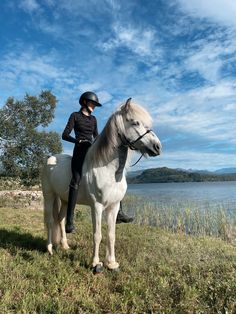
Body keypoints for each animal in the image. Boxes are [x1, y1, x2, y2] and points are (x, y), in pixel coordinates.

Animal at [41, 98, 161, 272]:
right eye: (135, 122)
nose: (157, 146)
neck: (107, 168)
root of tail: (50, 159)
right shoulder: (96, 207)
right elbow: (97, 235)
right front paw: (96, 264)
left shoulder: (114, 206)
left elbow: (111, 235)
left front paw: (112, 263)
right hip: (49, 195)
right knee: (50, 220)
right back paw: (49, 248)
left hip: (64, 200)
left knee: (61, 220)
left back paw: (64, 246)